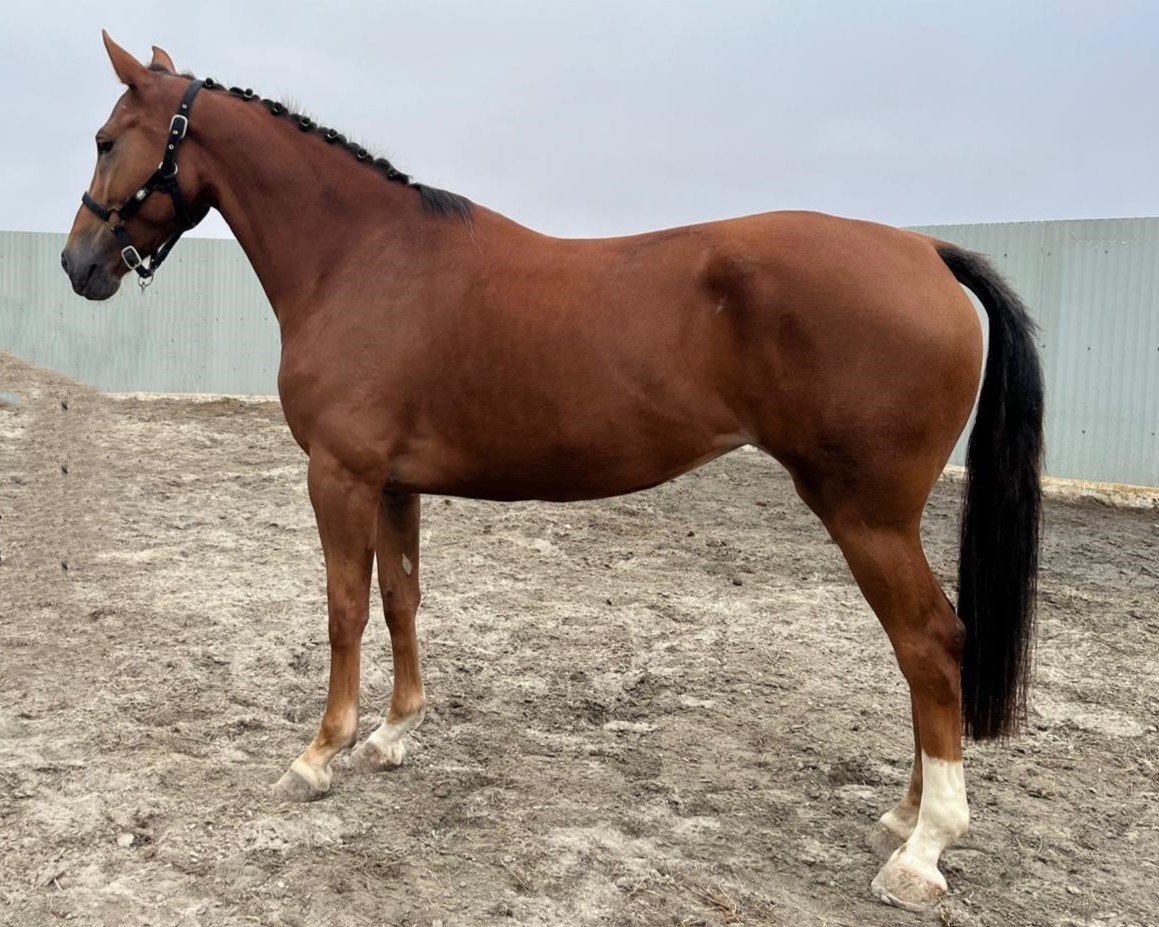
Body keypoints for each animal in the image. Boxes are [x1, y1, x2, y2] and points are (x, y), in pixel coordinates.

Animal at [61, 34, 1044, 911]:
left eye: (107, 140)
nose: (79, 265)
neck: (361, 258)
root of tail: (923, 253)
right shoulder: (394, 483)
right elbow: (400, 598)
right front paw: (391, 735)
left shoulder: (339, 476)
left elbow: (344, 608)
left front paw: (318, 755)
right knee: (927, 651)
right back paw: (902, 818)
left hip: (867, 515)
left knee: (930, 645)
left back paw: (921, 852)